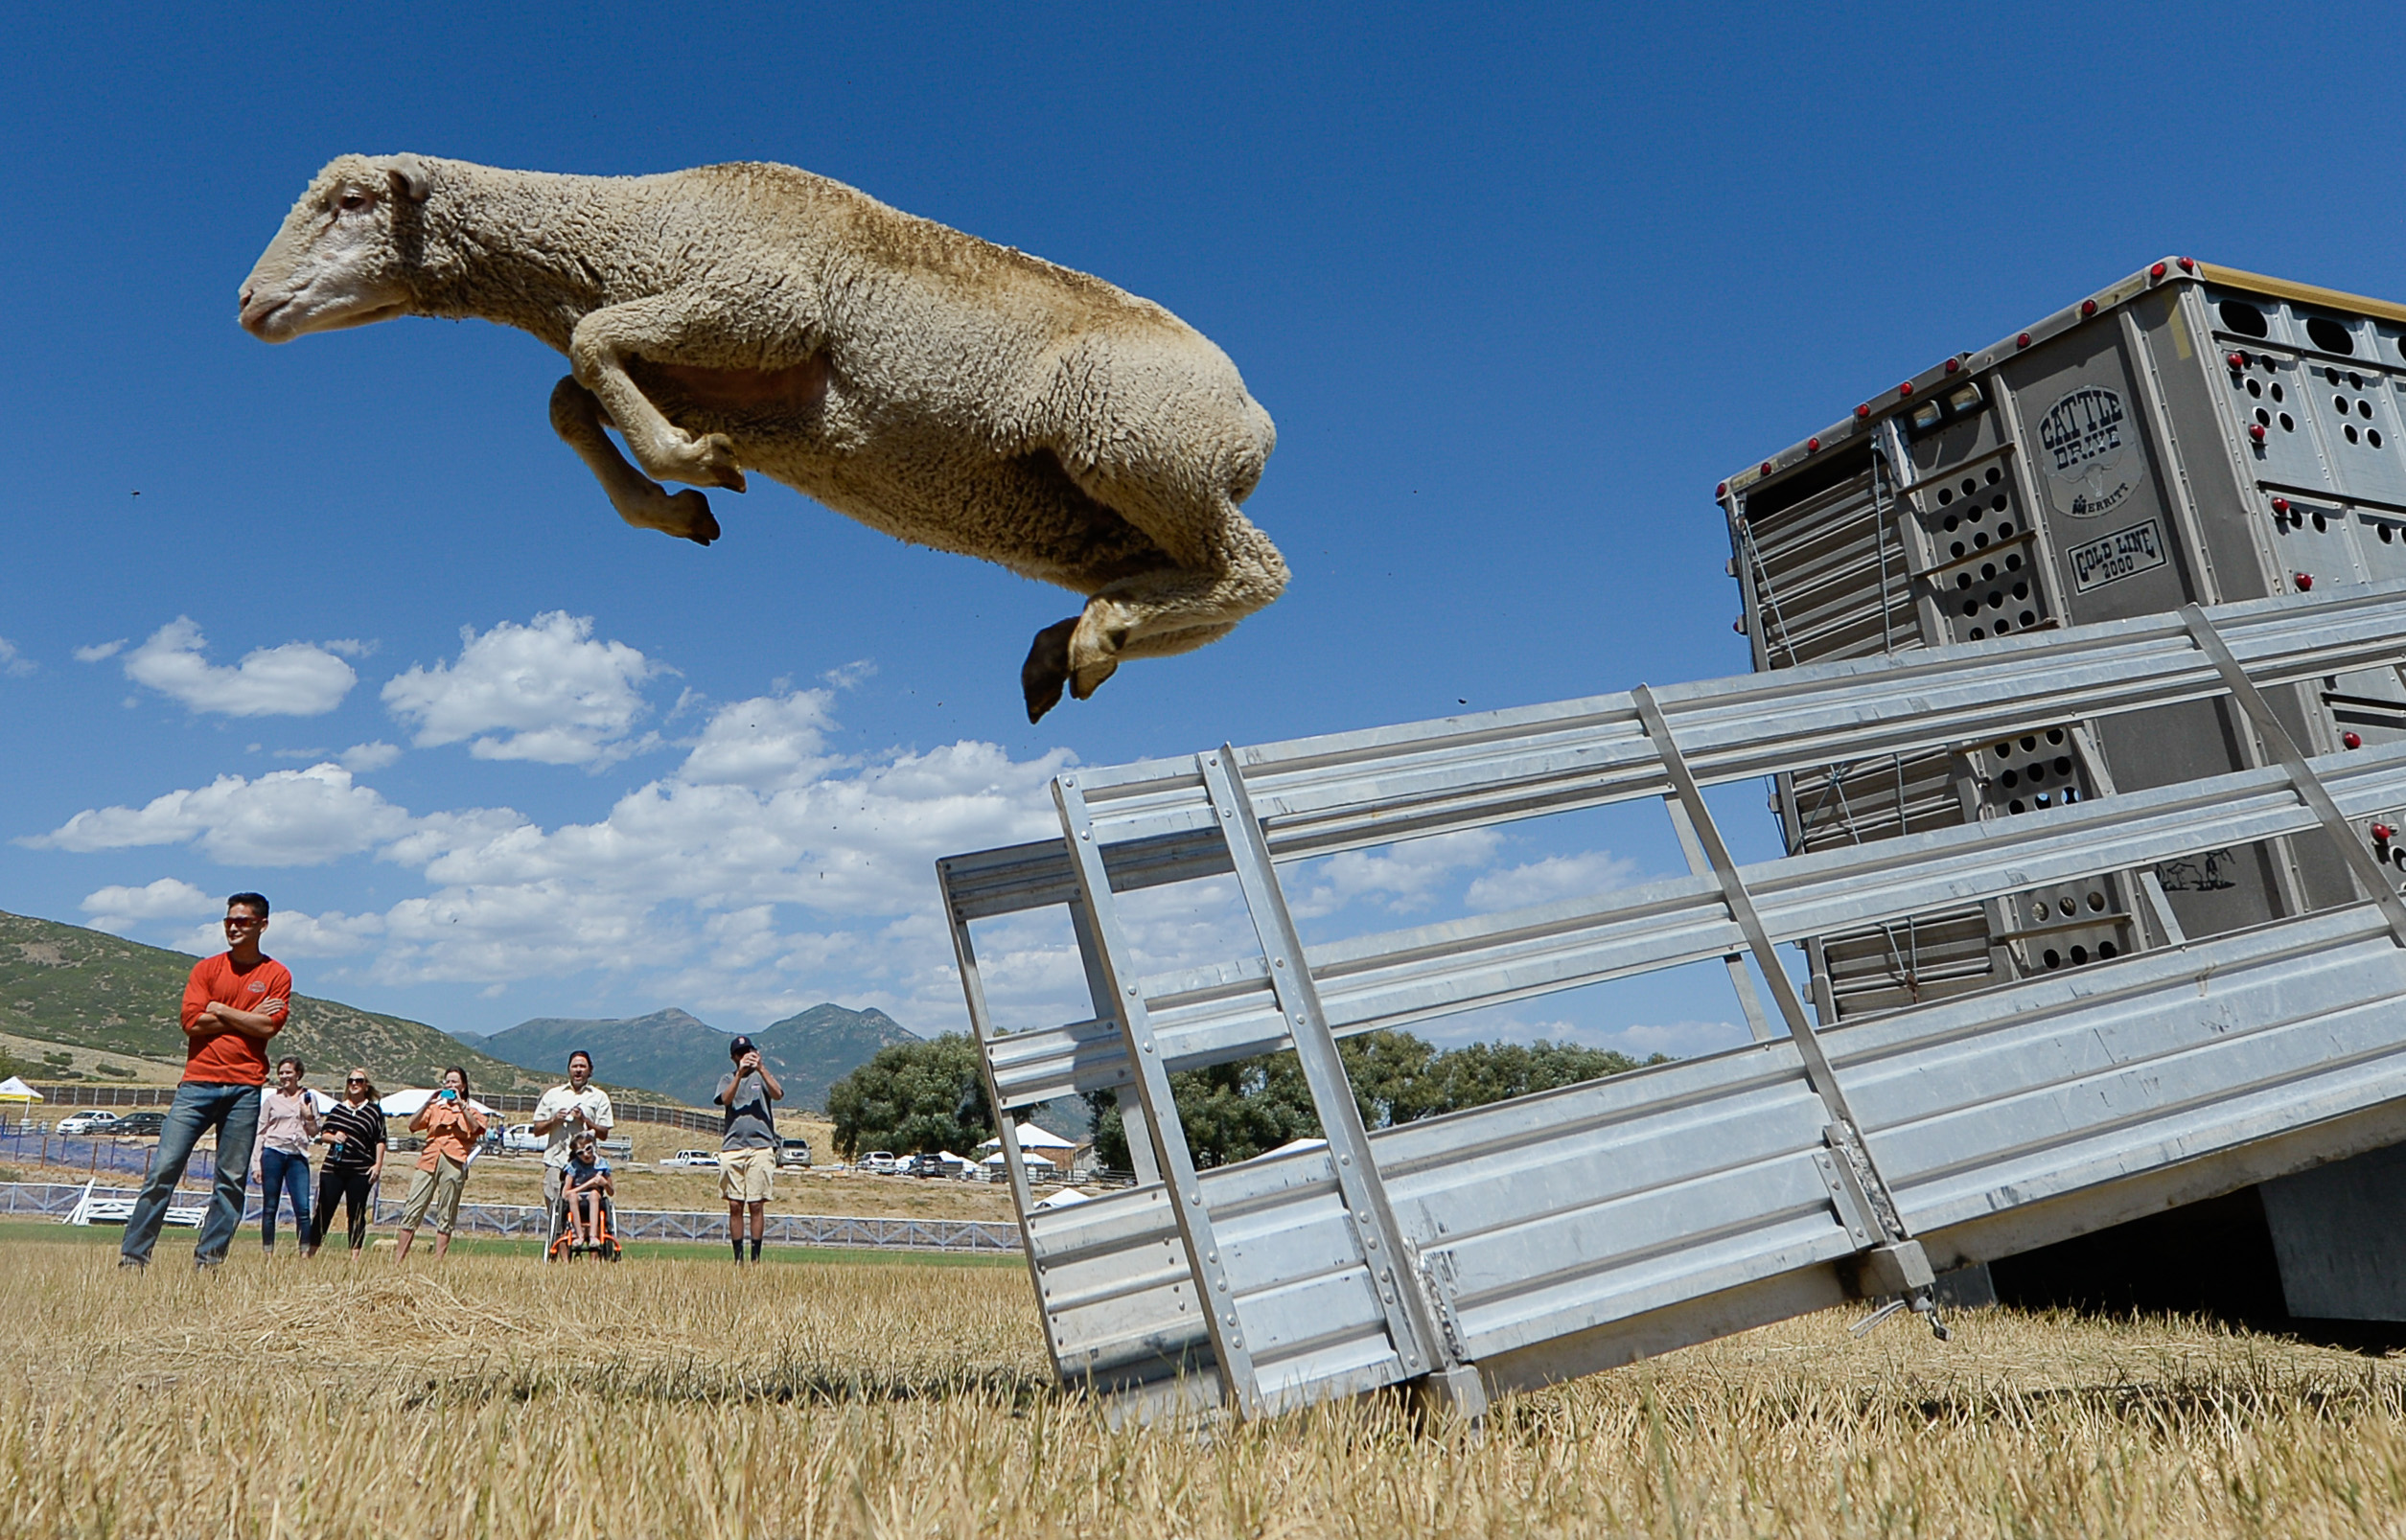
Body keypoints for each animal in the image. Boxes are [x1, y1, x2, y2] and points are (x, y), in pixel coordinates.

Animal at [238, 154, 1286, 722]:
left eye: (348, 203)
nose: (246, 300)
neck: (617, 229)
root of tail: (1254, 419)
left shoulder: (764, 309)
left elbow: (589, 347)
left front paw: (691, 468)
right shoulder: (733, 389)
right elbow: (571, 395)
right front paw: (675, 506)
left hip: (1134, 443)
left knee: (1257, 574)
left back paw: (1096, 634)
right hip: (1094, 516)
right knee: (1214, 591)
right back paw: (1072, 644)